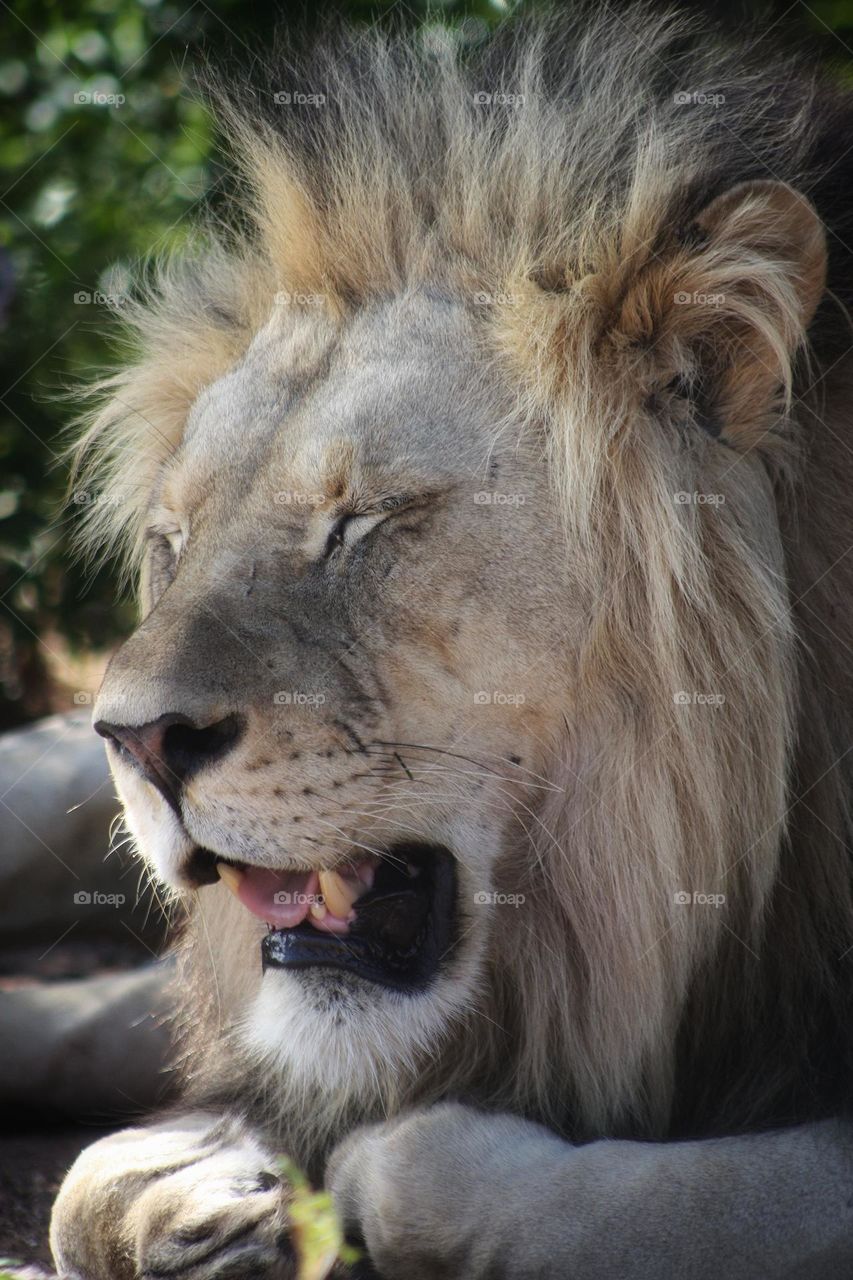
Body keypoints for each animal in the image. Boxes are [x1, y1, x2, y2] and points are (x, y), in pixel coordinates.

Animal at [50, 6, 853, 1277]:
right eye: (171, 542)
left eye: (365, 521)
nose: (131, 739)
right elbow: (78, 1181)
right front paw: (198, 1184)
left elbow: (678, 1198)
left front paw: (357, 1175)